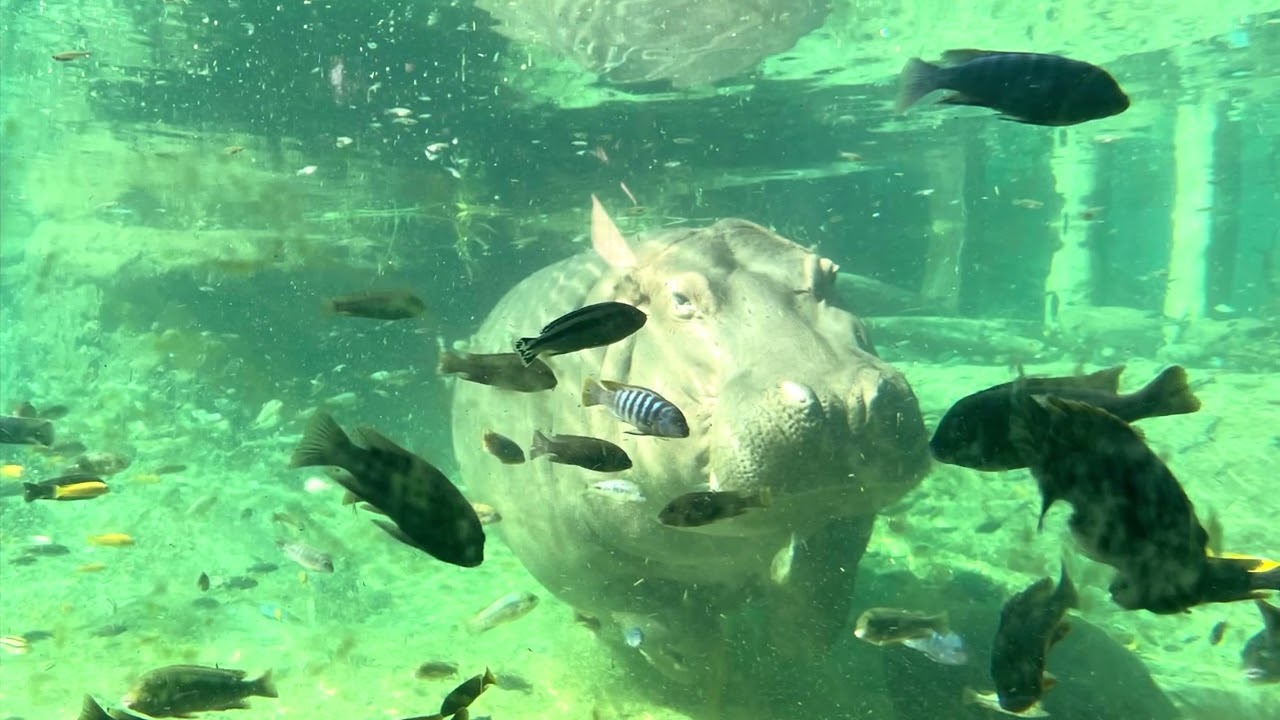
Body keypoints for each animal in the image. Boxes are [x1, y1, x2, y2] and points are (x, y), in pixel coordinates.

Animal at [450, 197, 930, 713]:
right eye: (680, 299)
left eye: (829, 273)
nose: (842, 403)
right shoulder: (573, 548)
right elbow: (660, 616)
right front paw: (707, 682)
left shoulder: (845, 509)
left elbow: (820, 588)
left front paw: (787, 652)